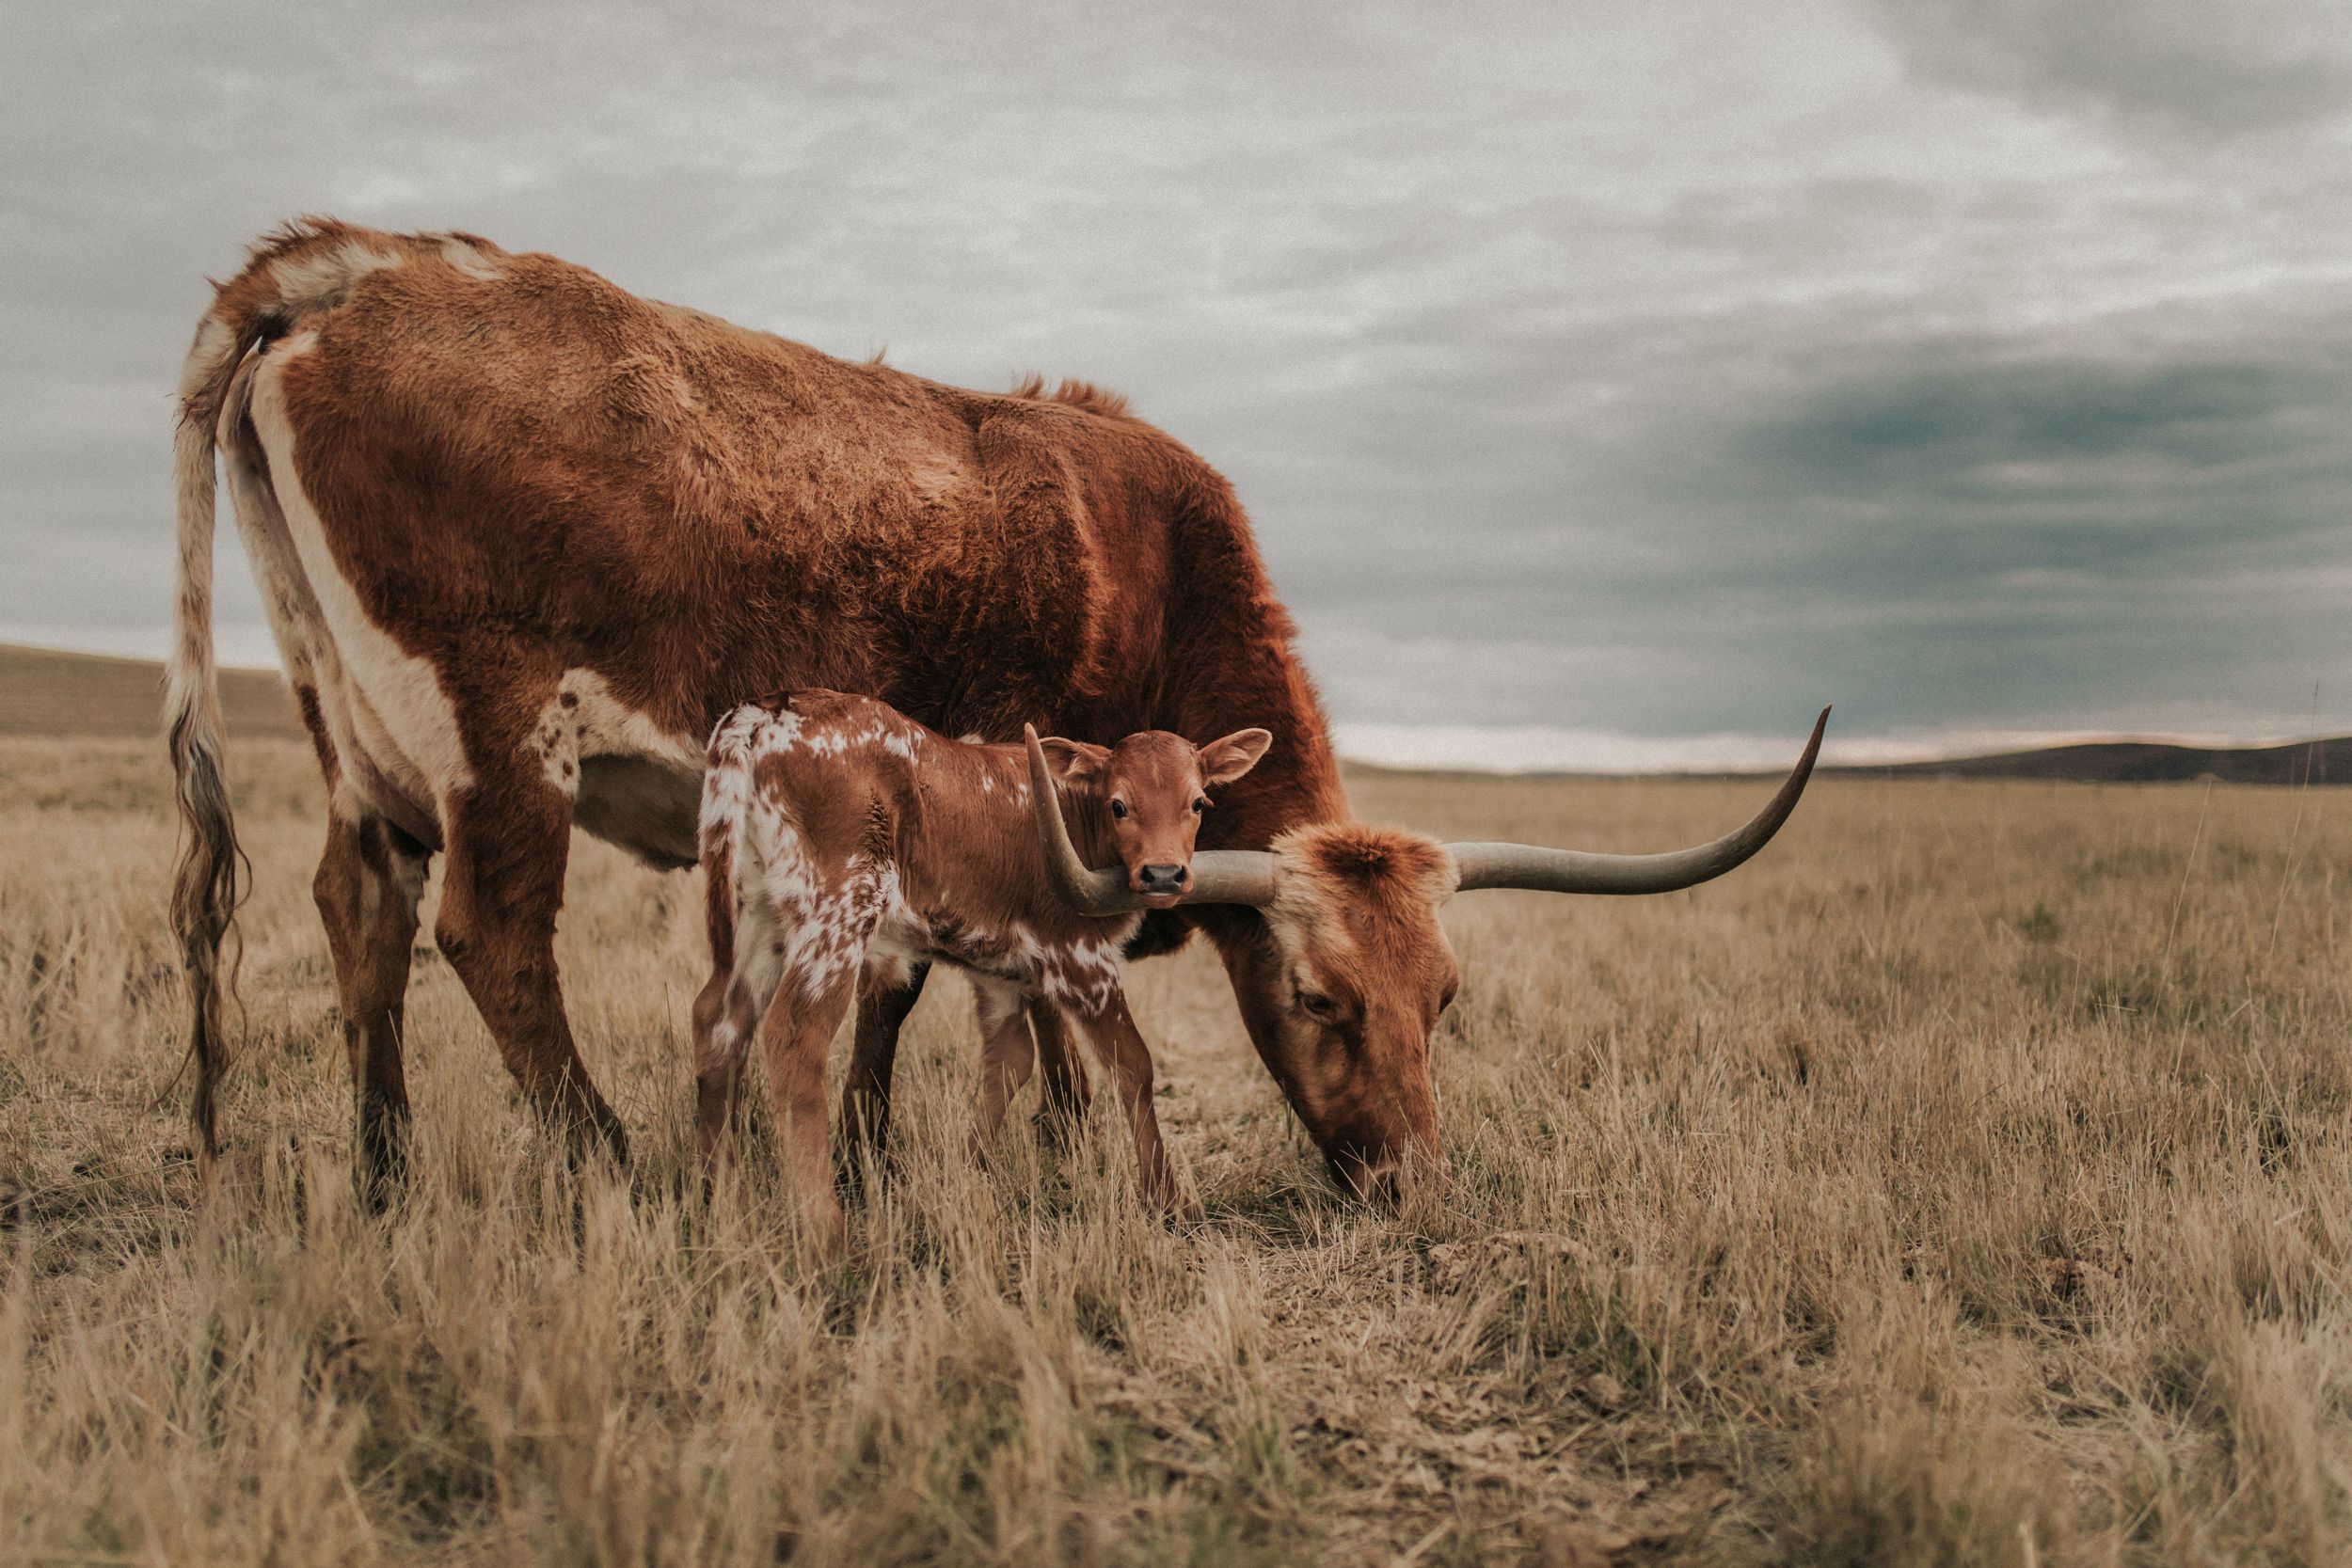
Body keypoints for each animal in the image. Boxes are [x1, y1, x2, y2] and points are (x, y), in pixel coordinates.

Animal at [687, 690, 1270, 1241]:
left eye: (1198, 802)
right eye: (1118, 805)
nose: (1164, 874)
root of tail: (763, 712)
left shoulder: (999, 968)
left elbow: (1010, 1060)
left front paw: (965, 1176)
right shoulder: (1079, 956)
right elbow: (1132, 1063)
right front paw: (1171, 1203)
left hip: (757, 910)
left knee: (718, 1020)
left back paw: (718, 1201)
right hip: (839, 905)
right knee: (795, 1035)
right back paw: (826, 1235)